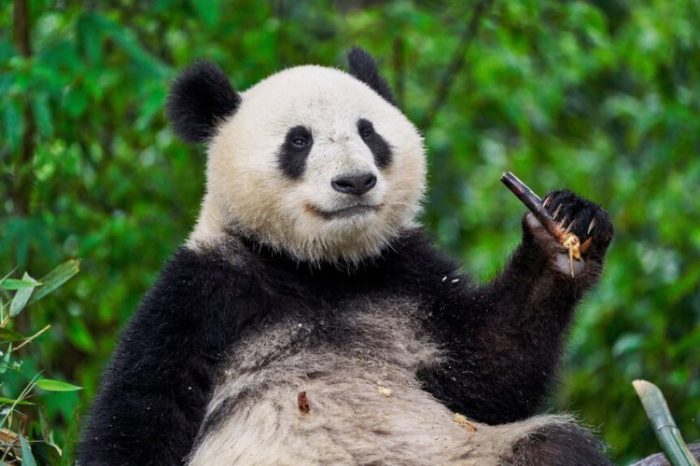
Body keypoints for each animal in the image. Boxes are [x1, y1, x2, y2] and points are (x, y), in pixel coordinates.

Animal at [78, 48, 615, 465]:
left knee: (554, 447)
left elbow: (490, 371)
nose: (355, 181)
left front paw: (566, 229)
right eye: (298, 140)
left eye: (369, 133)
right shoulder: (201, 294)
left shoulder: (406, 276)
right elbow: (144, 412)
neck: (317, 269)